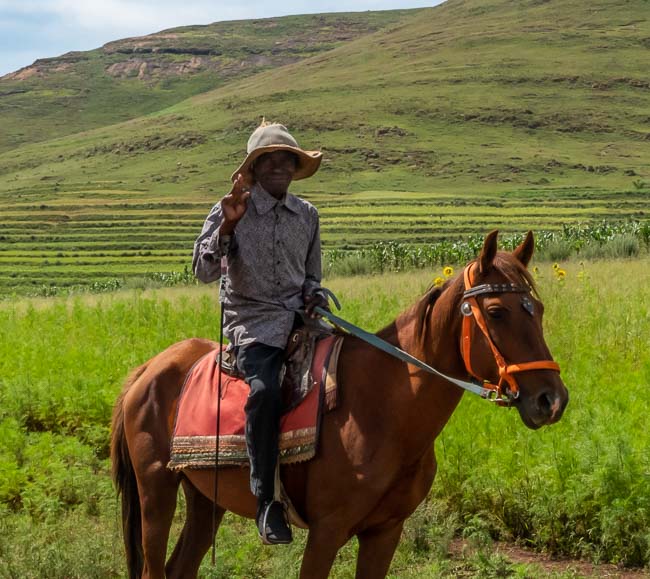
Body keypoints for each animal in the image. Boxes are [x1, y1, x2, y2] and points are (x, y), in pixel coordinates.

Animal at [111, 232, 568, 579]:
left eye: (540, 309)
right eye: (497, 312)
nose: (551, 399)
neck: (384, 410)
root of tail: (148, 369)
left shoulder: (385, 532)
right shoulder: (326, 532)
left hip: (206, 497)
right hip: (156, 490)